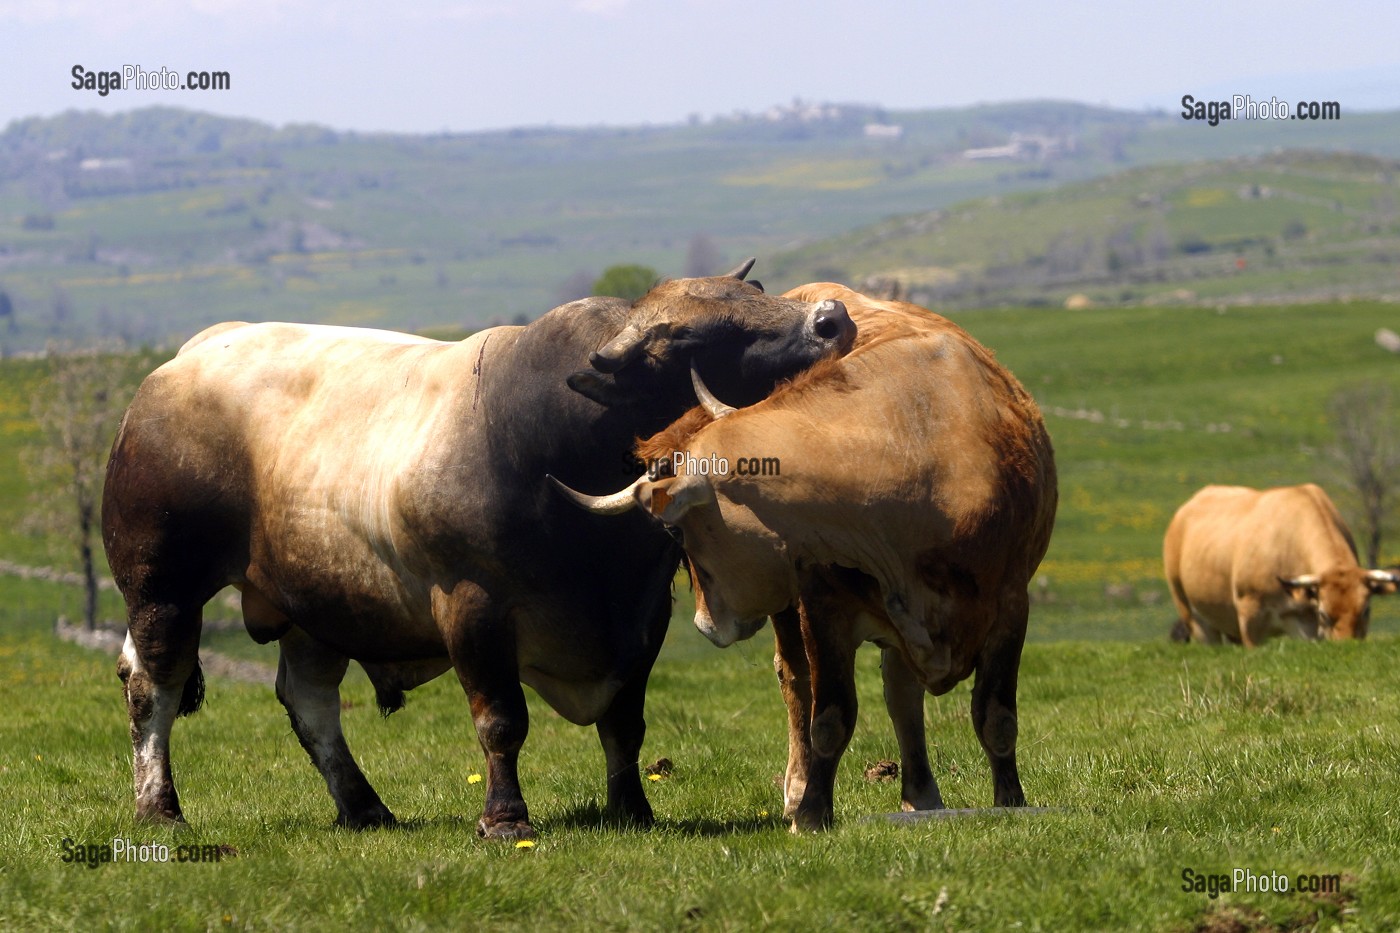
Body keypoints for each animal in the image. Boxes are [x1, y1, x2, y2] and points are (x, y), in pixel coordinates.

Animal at [101, 259, 851, 834]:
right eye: (687, 336)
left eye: (756, 294)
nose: (830, 319)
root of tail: (184, 361)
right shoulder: (473, 606)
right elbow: (501, 721)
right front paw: (505, 818)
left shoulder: (644, 614)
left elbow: (624, 723)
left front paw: (632, 809)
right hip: (163, 587)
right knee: (154, 686)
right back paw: (160, 808)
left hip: (313, 602)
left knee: (310, 703)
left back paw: (364, 807)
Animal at [551, 281, 1052, 829]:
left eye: (675, 530)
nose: (705, 623)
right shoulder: (821, 607)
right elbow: (829, 716)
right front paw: (811, 811)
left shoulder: (1012, 605)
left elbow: (996, 716)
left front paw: (1010, 800)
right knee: (804, 684)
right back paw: (802, 788)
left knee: (902, 694)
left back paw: (920, 794)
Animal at [1159, 481, 1400, 644]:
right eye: (1324, 614)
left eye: (1366, 610)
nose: (1346, 645)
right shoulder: (1250, 619)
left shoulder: (1306, 626)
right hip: (1195, 618)